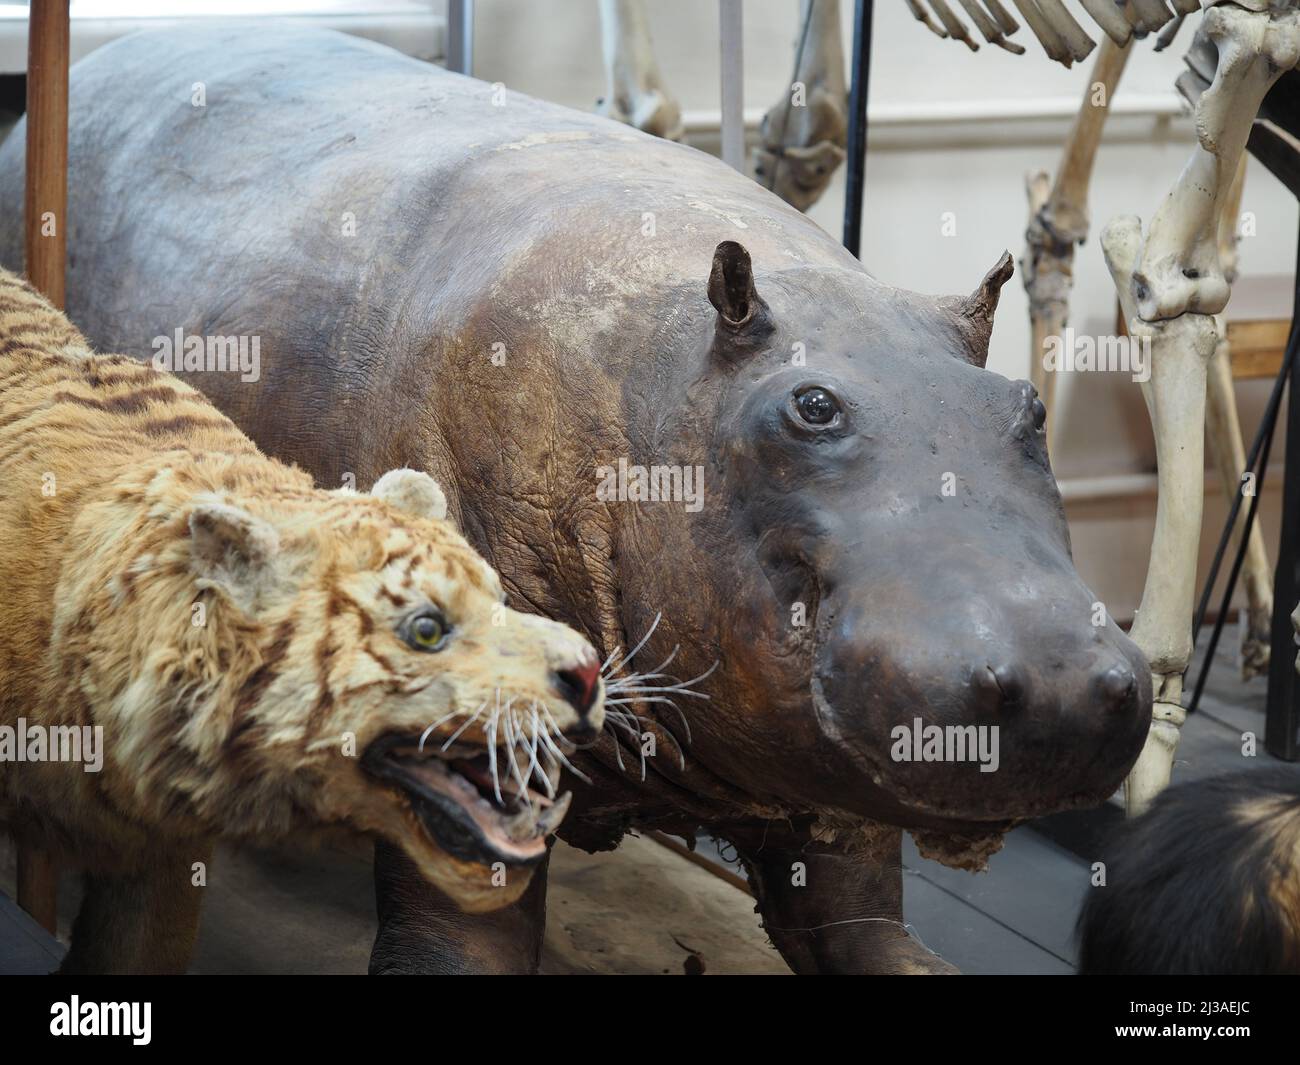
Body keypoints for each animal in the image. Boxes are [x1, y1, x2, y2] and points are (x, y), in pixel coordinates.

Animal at [0, 23, 1151, 975]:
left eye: (1026, 408)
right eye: (809, 406)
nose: (1060, 680)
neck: (667, 385)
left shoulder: (835, 803)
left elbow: (874, 927)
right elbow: (458, 939)